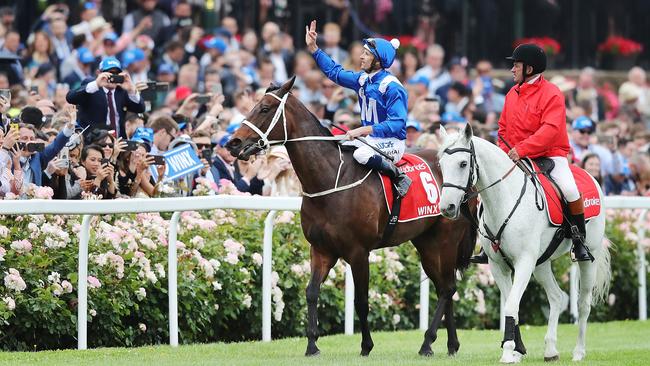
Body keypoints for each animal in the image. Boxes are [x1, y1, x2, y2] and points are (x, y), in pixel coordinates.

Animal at [224, 76, 476, 356]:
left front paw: (366, 346)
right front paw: (312, 345)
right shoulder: (321, 249)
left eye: (265, 108)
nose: (233, 143)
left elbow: (361, 300)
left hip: (446, 240)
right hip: (426, 242)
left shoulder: (358, 252)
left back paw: (427, 342)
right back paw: (450, 344)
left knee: (448, 288)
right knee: (445, 287)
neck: (330, 179)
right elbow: (311, 292)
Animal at [436, 123, 608, 364]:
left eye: (462, 163)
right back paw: (550, 350)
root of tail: (591, 177)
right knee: (556, 297)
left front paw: (509, 351)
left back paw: (578, 352)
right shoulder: (498, 266)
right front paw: (517, 349)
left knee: (583, 304)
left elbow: (511, 304)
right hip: (541, 264)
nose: (447, 207)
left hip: (586, 259)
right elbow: (512, 304)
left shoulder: (524, 262)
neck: (504, 199)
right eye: (441, 165)